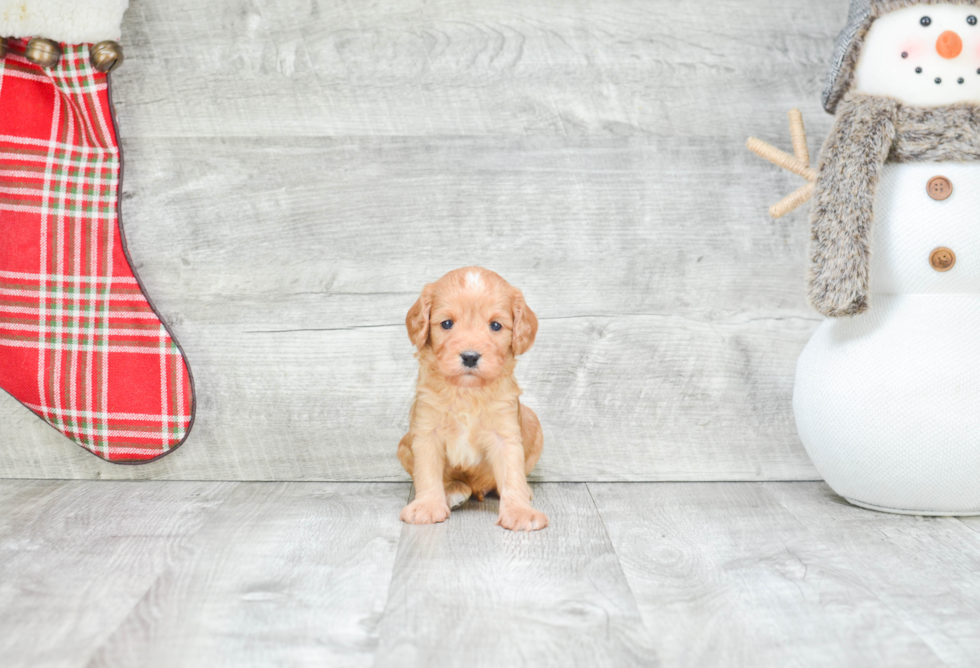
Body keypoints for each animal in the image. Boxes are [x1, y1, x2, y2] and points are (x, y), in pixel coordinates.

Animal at [400, 266, 552, 532]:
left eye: (496, 325)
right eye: (447, 323)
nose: (470, 357)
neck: (466, 392)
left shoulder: (505, 432)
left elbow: (512, 474)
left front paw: (520, 511)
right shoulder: (426, 430)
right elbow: (427, 472)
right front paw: (427, 506)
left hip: (533, 421)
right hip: (404, 444)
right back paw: (454, 491)